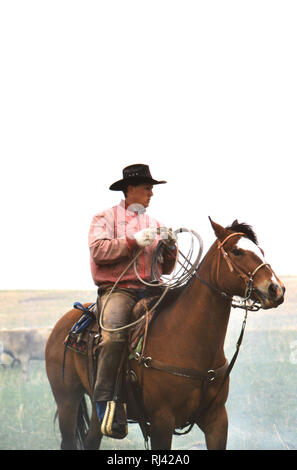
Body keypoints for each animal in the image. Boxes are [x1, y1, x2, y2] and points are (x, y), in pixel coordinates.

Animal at [45, 218, 284, 450]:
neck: (189, 341)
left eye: (261, 250)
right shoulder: (162, 421)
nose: (276, 289)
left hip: (95, 414)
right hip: (67, 400)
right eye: (237, 251)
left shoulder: (217, 419)